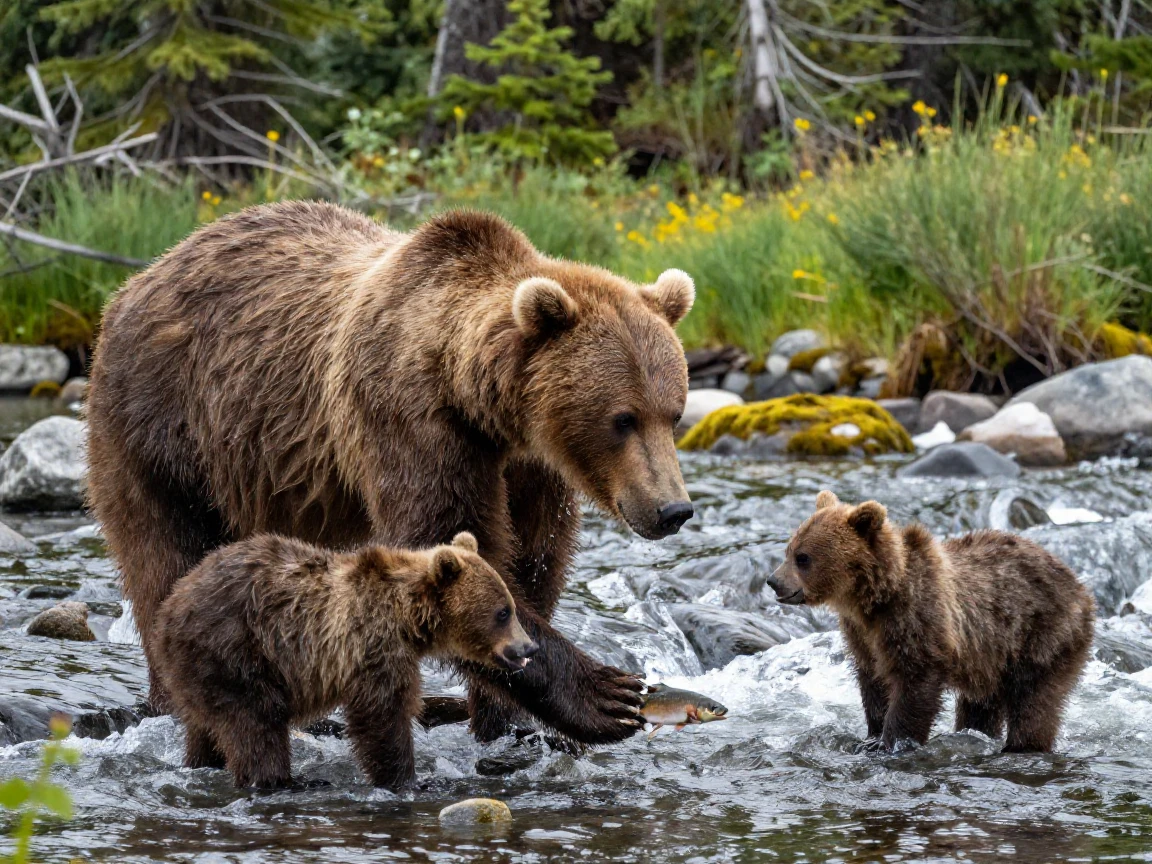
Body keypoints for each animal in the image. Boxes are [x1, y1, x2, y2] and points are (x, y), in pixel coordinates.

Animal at [86, 202, 697, 744]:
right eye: (622, 418)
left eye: (673, 413)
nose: (673, 509)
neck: (481, 402)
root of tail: (138, 280)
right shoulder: (407, 422)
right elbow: (449, 540)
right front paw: (607, 696)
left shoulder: (530, 467)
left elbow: (534, 559)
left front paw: (505, 718)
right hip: (162, 430)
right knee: (163, 558)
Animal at [152, 531, 538, 789]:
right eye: (503, 612)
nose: (529, 648)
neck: (408, 617)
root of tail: (169, 608)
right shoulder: (372, 647)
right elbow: (383, 715)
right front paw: (408, 779)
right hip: (236, 652)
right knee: (257, 725)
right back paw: (285, 781)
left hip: (199, 672)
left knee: (205, 728)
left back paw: (202, 763)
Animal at [767, 491, 1095, 753]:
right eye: (788, 549)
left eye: (803, 557)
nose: (773, 581)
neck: (875, 597)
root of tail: (1081, 587)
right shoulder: (862, 635)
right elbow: (872, 680)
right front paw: (871, 735)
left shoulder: (918, 617)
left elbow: (915, 682)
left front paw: (892, 742)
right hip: (991, 656)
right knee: (981, 703)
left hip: (1043, 633)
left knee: (1034, 701)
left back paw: (1021, 745)